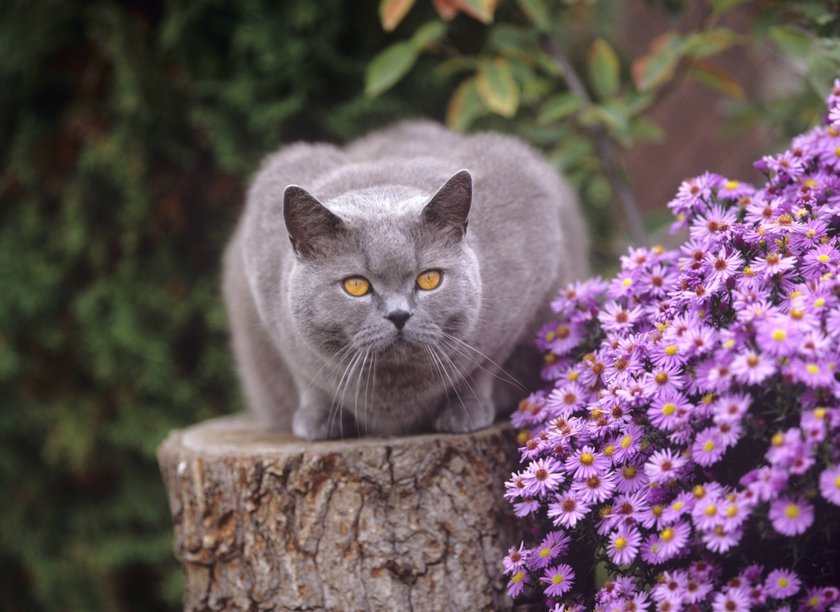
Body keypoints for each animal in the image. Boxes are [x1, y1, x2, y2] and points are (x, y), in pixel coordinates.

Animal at [223, 119, 592, 438]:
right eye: (356, 285)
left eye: (429, 279)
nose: (399, 314)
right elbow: (307, 377)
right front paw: (319, 422)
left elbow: (484, 368)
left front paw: (463, 414)